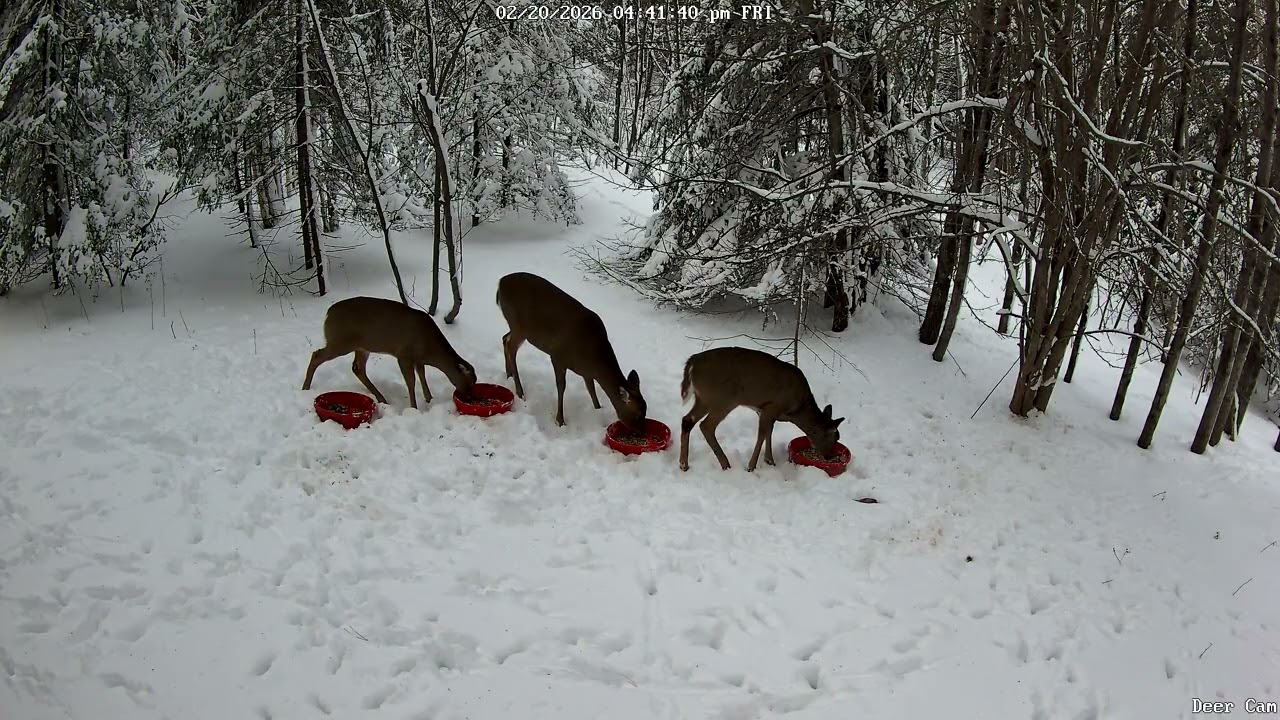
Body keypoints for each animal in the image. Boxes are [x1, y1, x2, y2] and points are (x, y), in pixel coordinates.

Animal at [301, 296, 476, 409]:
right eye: (469, 382)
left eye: (475, 382)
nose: (470, 397)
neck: (429, 348)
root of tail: (328, 313)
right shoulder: (403, 354)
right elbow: (411, 381)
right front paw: (414, 407)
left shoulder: (418, 359)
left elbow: (422, 374)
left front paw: (429, 399)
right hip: (340, 341)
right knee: (316, 355)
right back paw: (305, 387)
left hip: (362, 347)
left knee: (357, 368)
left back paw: (382, 399)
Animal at [495, 272, 646, 431]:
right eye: (638, 415)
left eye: (646, 411)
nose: (640, 433)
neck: (593, 355)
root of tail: (500, 283)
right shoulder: (557, 356)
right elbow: (561, 387)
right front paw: (560, 420)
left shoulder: (586, 371)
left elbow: (591, 390)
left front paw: (598, 409)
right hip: (519, 324)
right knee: (511, 347)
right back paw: (520, 392)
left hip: (516, 327)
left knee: (505, 338)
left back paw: (508, 374)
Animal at [678, 346, 845, 472]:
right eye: (835, 437)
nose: (830, 456)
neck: (796, 410)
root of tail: (692, 362)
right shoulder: (771, 406)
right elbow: (762, 434)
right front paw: (751, 466)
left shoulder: (763, 410)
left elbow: (769, 432)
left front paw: (770, 460)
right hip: (724, 398)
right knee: (706, 425)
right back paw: (725, 464)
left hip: (703, 398)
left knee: (687, 420)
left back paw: (683, 464)